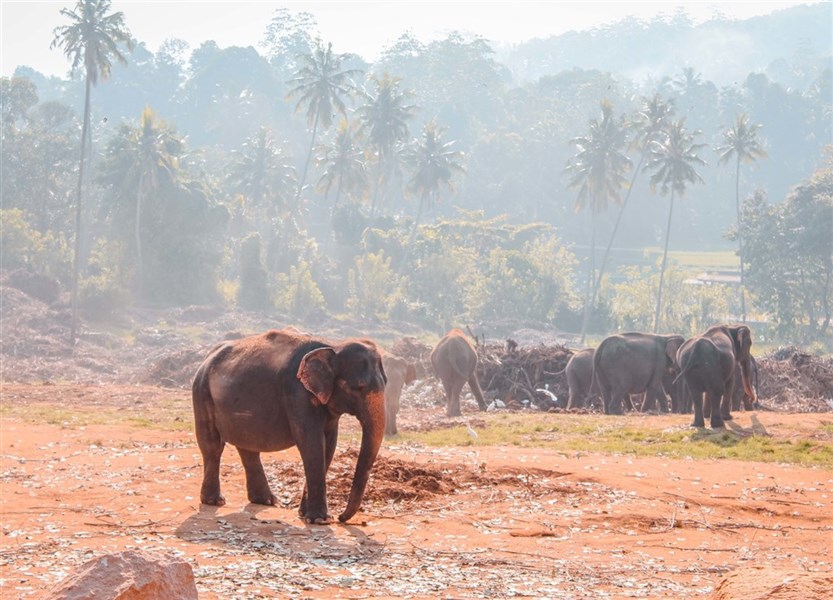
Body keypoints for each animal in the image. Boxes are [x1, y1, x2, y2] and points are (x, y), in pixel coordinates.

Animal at [189, 328, 386, 524]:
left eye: (386, 383)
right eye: (357, 388)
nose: (341, 517)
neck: (333, 345)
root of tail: (207, 357)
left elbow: (329, 445)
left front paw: (305, 515)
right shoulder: (297, 393)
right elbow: (312, 443)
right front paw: (320, 520)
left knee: (247, 446)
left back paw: (266, 501)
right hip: (201, 392)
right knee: (212, 445)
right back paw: (214, 501)